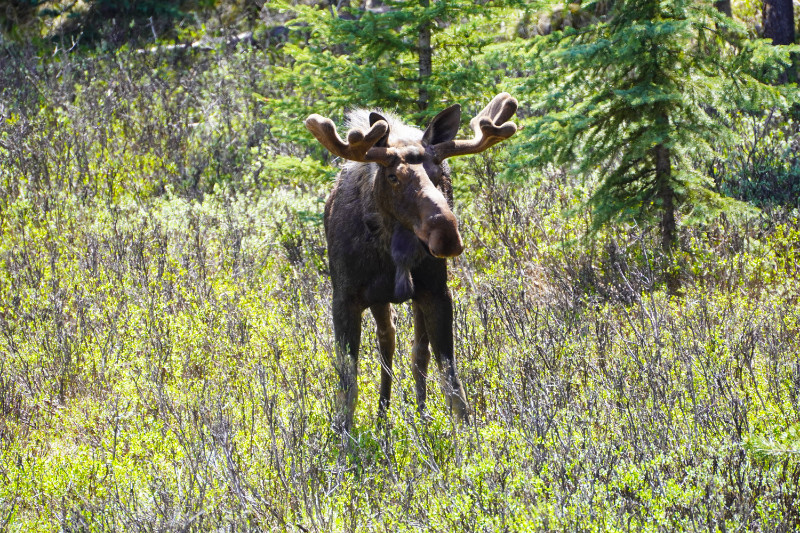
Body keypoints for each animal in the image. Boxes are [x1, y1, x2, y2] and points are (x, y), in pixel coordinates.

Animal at [305, 93, 518, 432]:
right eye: (393, 176)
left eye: (441, 176)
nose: (447, 236)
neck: (393, 249)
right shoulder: (344, 299)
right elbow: (347, 385)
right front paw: (344, 438)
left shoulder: (437, 293)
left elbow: (451, 381)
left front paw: (464, 437)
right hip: (379, 300)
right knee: (388, 341)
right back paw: (382, 416)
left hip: (416, 297)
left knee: (418, 354)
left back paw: (419, 415)